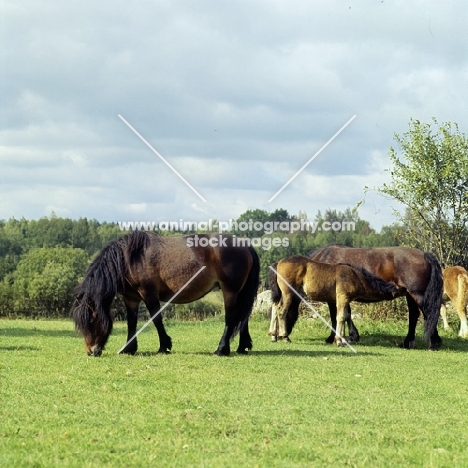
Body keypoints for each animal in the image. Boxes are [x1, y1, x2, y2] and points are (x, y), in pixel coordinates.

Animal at [70, 232, 260, 356]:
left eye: (92, 320)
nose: (91, 351)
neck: (129, 259)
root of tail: (244, 244)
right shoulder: (131, 298)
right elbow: (131, 323)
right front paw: (128, 349)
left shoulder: (149, 294)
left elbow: (156, 319)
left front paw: (164, 346)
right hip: (240, 292)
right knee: (243, 318)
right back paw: (242, 347)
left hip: (230, 291)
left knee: (231, 318)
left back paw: (222, 349)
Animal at [268, 256, 404, 348]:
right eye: (398, 291)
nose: (406, 290)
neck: (355, 276)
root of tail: (278, 263)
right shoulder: (342, 298)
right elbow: (341, 317)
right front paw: (339, 340)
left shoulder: (344, 300)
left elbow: (346, 316)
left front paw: (343, 339)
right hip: (288, 293)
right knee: (281, 311)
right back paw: (284, 337)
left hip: (281, 294)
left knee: (275, 308)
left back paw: (273, 335)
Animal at [308, 245, 444, 352]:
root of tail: (424, 255)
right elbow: (347, 314)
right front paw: (352, 336)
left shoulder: (334, 299)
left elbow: (335, 317)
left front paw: (333, 338)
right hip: (410, 295)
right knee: (414, 315)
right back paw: (408, 342)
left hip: (417, 294)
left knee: (428, 314)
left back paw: (434, 344)